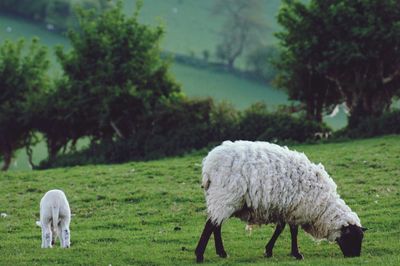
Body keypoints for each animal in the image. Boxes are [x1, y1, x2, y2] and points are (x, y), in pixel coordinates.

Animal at [195, 141, 368, 262]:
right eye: (352, 237)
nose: (355, 257)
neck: (322, 208)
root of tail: (209, 165)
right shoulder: (297, 209)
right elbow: (293, 231)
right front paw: (296, 254)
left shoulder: (285, 207)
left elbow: (280, 228)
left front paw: (269, 250)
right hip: (225, 196)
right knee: (211, 225)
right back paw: (200, 255)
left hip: (221, 198)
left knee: (216, 224)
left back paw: (221, 253)